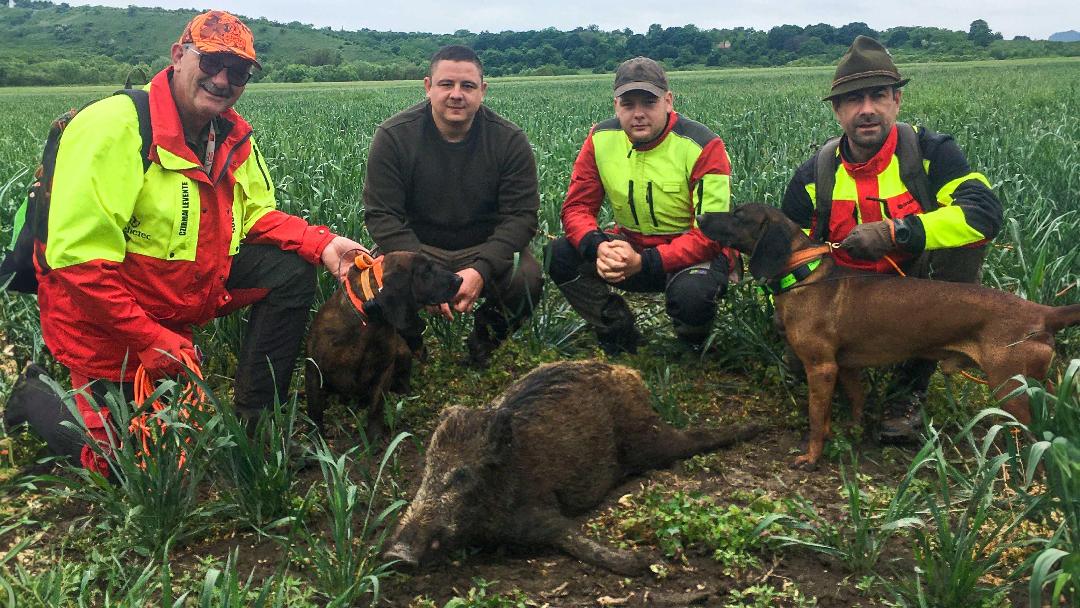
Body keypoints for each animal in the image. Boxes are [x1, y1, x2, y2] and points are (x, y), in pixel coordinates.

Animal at [304, 250, 460, 438]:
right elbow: (315, 411)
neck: (369, 322)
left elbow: (376, 408)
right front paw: (316, 437)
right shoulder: (314, 371)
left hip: (403, 354)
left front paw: (375, 436)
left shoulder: (384, 370)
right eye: (426, 271)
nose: (460, 279)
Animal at [699, 204, 1080, 470]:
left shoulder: (821, 368)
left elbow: (816, 417)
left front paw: (812, 457)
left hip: (1011, 387)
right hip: (1035, 383)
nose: (701, 215)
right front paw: (849, 432)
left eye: (737, 214)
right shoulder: (845, 366)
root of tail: (1042, 312)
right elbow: (854, 401)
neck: (805, 274)